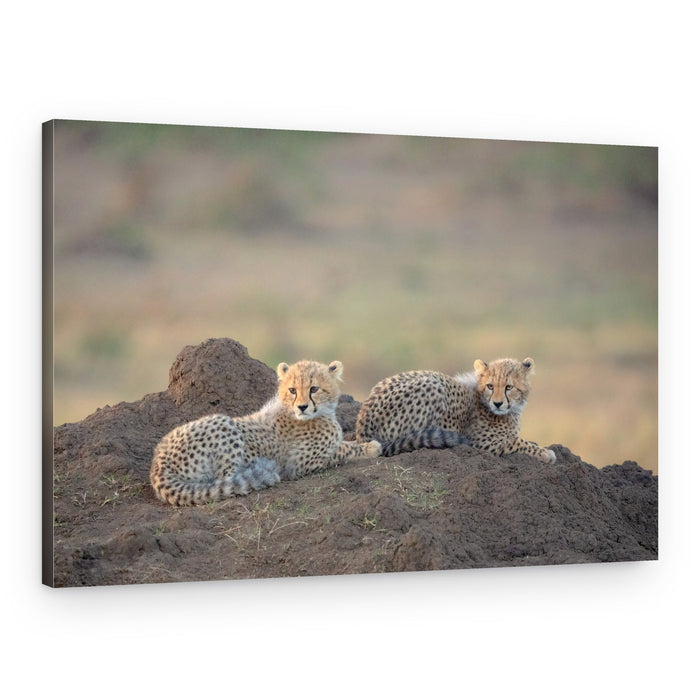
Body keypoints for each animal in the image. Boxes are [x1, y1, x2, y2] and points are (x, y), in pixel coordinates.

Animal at [151, 359, 382, 506]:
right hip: (223, 422)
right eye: (292, 390)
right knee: (225, 481)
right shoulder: (300, 464)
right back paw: (258, 473)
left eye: (314, 389)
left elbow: (344, 445)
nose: (302, 407)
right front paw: (370, 448)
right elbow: (341, 451)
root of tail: (158, 462)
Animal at [356, 357, 556, 463]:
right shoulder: (481, 443)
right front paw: (546, 453)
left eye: (509, 387)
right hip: (434, 385)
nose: (498, 404)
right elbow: (516, 442)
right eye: (490, 386)